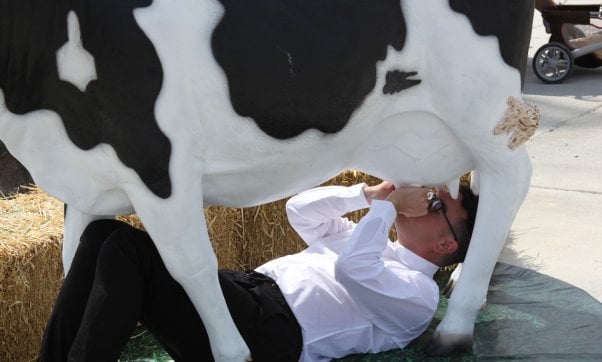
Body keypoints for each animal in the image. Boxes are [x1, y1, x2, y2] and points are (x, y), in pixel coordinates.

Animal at [0, 1, 536, 360]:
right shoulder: (87, 178)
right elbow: (72, 261)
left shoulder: (157, 162)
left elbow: (191, 266)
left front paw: (233, 353)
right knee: (473, 185)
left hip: (485, 106)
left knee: (512, 177)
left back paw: (456, 325)